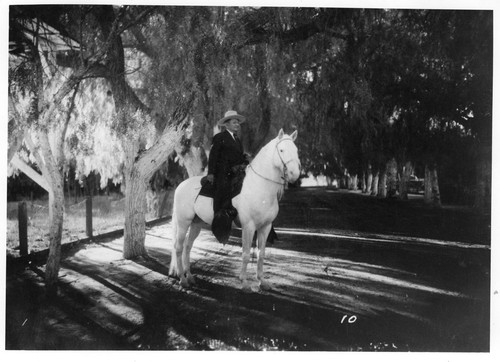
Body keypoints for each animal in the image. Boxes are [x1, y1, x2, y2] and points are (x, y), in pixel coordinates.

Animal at [168, 129, 300, 292]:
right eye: (281, 150)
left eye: (296, 150)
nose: (295, 174)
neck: (259, 187)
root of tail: (181, 186)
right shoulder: (248, 226)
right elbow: (246, 254)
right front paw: (244, 283)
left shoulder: (265, 227)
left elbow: (261, 254)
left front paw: (262, 281)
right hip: (183, 222)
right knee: (178, 247)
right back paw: (182, 279)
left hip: (196, 223)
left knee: (187, 246)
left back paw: (190, 277)